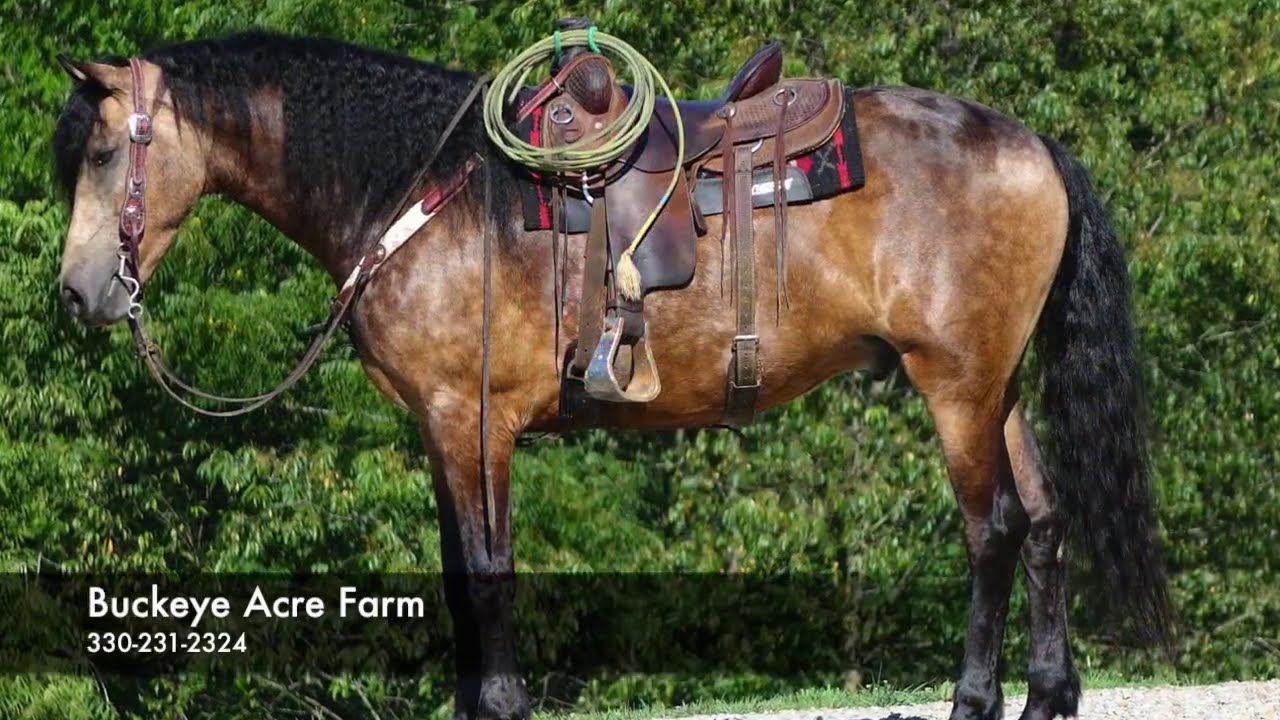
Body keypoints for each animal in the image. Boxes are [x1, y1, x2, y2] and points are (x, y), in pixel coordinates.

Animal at [52, 30, 1172, 720]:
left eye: (105, 152)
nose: (78, 294)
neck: (424, 192)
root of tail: (1032, 143)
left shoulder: (473, 419)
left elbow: (488, 573)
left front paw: (503, 705)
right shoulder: (438, 428)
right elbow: (457, 575)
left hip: (955, 388)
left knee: (993, 533)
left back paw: (974, 699)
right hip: (998, 387)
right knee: (1045, 523)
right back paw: (1047, 694)